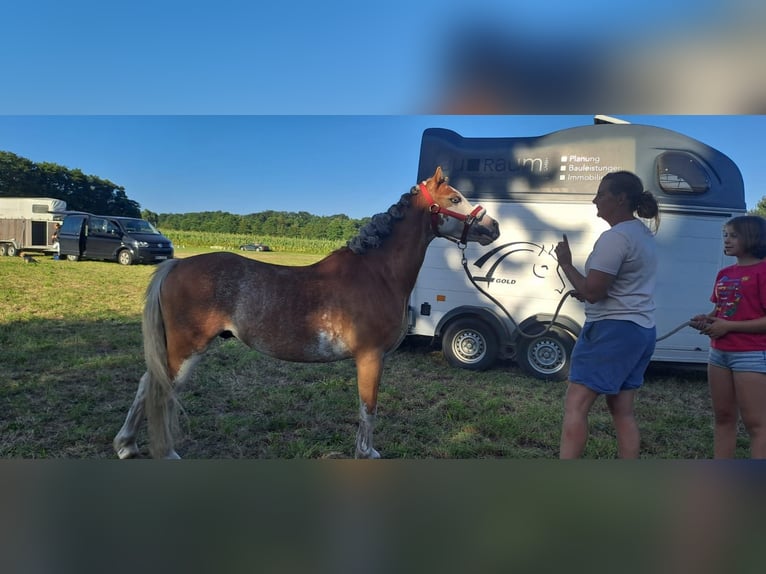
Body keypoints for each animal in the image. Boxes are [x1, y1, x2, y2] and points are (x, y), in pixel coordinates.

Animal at [113, 166, 500, 459]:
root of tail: (175, 265)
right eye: (455, 199)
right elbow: (368, 407)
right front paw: (365, 454)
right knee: (161, 390)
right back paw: (164, 452)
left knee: (147, 384)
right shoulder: (370, 357)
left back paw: (127, 446)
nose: (493, 227)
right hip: (187, 349)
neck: (377, 273)